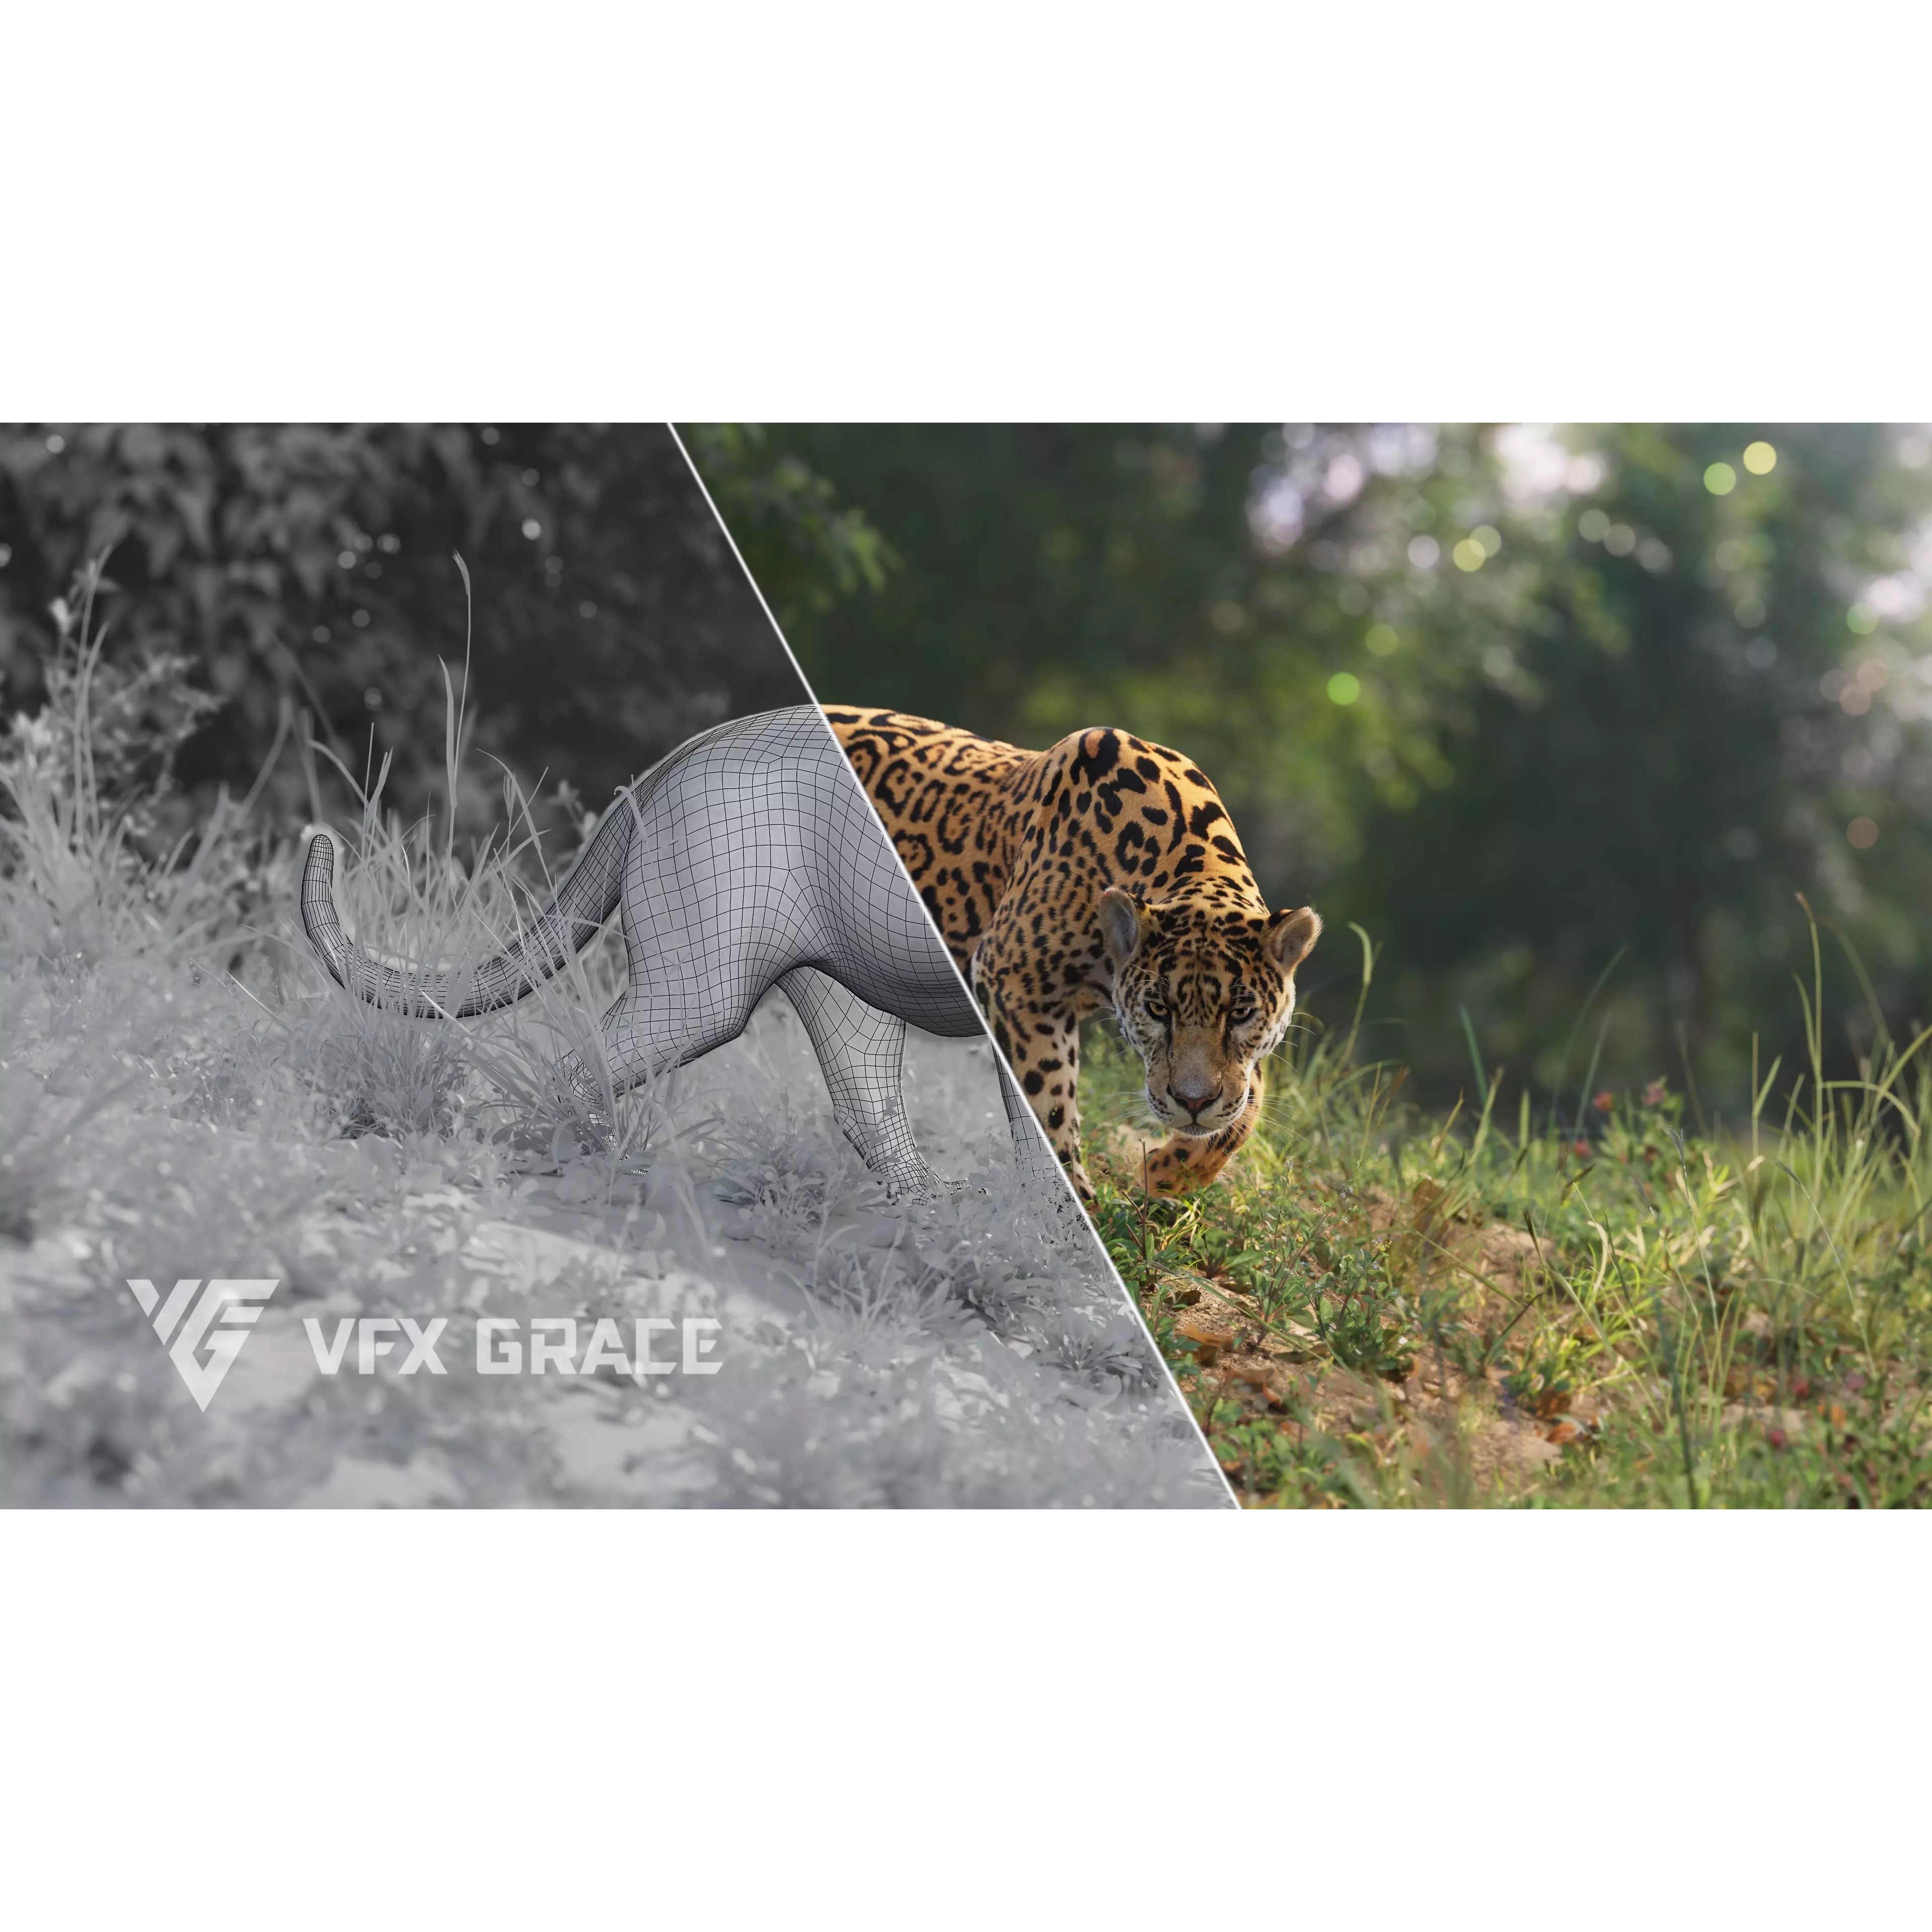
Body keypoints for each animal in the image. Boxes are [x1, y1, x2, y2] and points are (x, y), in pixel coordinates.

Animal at [825, 707, 1322, 1207]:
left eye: (1240, 1013)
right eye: (1158, 1010)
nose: (1194, 1103)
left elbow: (1248, 1099)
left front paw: (1166, 1174)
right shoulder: (1012, 980)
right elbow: (1047, 1102)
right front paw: (1074, 1202)